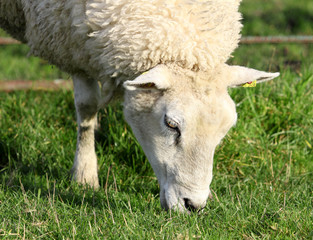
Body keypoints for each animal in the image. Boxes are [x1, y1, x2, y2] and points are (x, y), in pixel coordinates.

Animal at [0, 0, 278, 213]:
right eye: (171, 124)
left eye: (225, 130)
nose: (194, 205)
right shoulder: (72, 43)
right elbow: (86, 107)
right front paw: (85, 175)